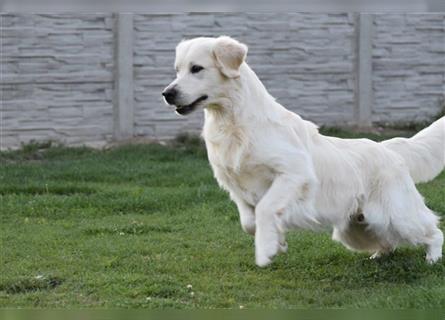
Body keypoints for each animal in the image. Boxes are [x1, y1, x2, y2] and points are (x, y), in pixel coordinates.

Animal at [163, 35, 444, 266]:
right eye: (177, 70)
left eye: (196, 69)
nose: (167, 93)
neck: (234, 123)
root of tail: (388, 148)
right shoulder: (234, 185)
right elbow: (249, 222)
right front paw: (278, 241)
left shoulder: (294, 173)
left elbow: (265, 208)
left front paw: (266, 251)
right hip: (356, 228)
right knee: (388, 240)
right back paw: (379, 255)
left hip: (398, 216)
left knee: (433, 230)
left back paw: (432, 259)